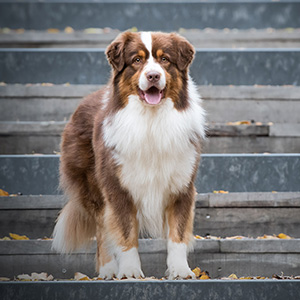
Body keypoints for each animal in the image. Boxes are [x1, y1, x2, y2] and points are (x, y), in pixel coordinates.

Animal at [52, 30, 205, 278]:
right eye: (137, 60)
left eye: (165, 59)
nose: (153, 76)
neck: (151, 120)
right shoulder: (118, 187)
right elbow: (125, 233)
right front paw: (130, 272)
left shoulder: (182, 186)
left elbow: (178, 234)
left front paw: (181, 270)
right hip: (93, 187)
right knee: (102, 230)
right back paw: (108, 270)